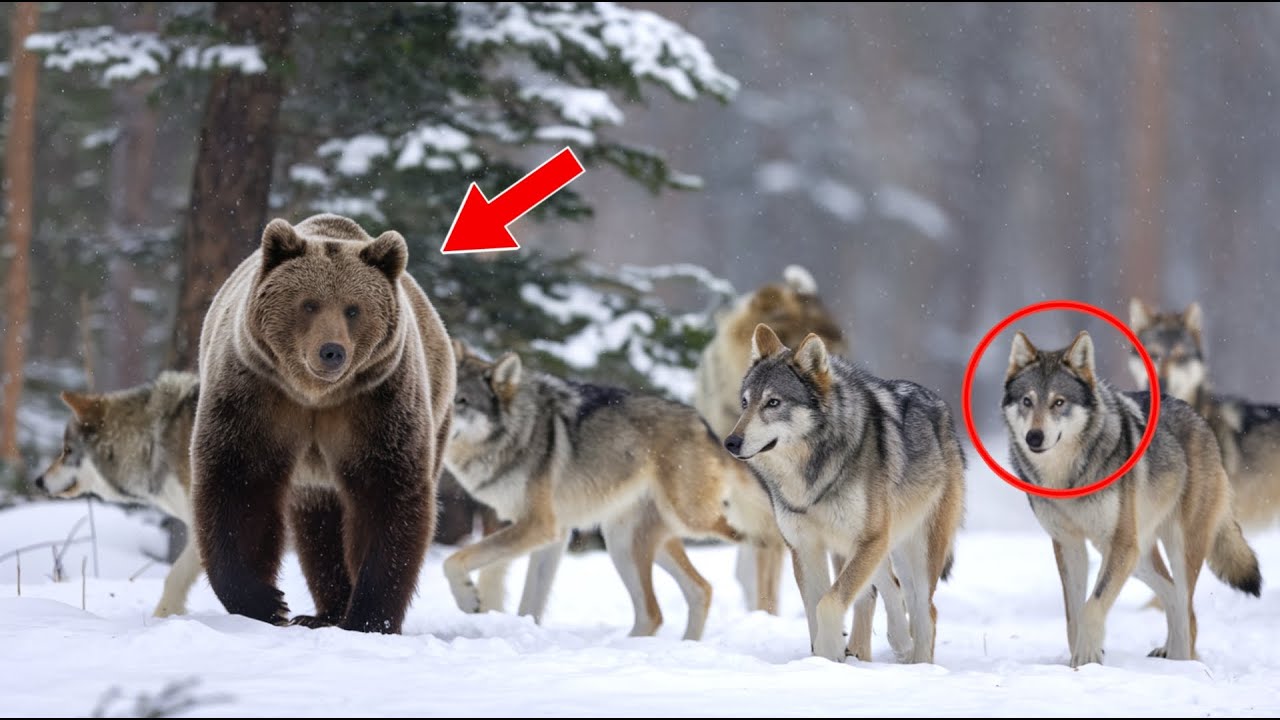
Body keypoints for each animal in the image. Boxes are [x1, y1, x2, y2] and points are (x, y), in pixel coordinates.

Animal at [191, 213, 455, 634]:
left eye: (353, 309)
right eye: (309, 304)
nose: (332, 351)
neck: (316, 395)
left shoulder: (376, 403)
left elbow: (388, 494)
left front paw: (370, 617)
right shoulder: (256, 394)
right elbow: (239, 484)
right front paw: (267, 602)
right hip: (312, 478)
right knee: (319, 530)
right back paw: (321, 613)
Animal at [442, 341, 778, 640]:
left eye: (462, 401)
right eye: (446, 396)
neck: (518, 432)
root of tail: (709, 430)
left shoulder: (539, 526)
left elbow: (455, 560)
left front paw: (469, 601)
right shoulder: (553, 533)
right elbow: (528, 601)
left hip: (685, 522)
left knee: (747, 538)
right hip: (626, 541)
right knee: (687, 596)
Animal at [725, 324, 965, 663]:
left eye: (773, 403)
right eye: (746, 403)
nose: (730, 442)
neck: (811, 477)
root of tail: (941, 408)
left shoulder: (869, 539)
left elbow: (828, 603)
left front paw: (829, 653)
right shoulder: (805, 547)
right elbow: (815, 607)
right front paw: (824, 660)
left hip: (912, 548)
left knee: (925, 610)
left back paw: (919, 663)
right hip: (875, 545)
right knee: (892, 588)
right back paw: (900, 643)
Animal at [1004, 330, 1261, 667]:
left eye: (1058, 402)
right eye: (1027, 401)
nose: (1034, 437)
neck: (1067, 477)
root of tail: (1200, 418)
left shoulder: (1122, 543)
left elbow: (1091, 606)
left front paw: (1087, 658)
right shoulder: (1070, 545)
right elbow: (1074, 615)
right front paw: (1079, 663)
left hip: (1172, 546)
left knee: (1187, 610)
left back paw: (1181, 662)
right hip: (1134, 555)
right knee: (1173, 595)